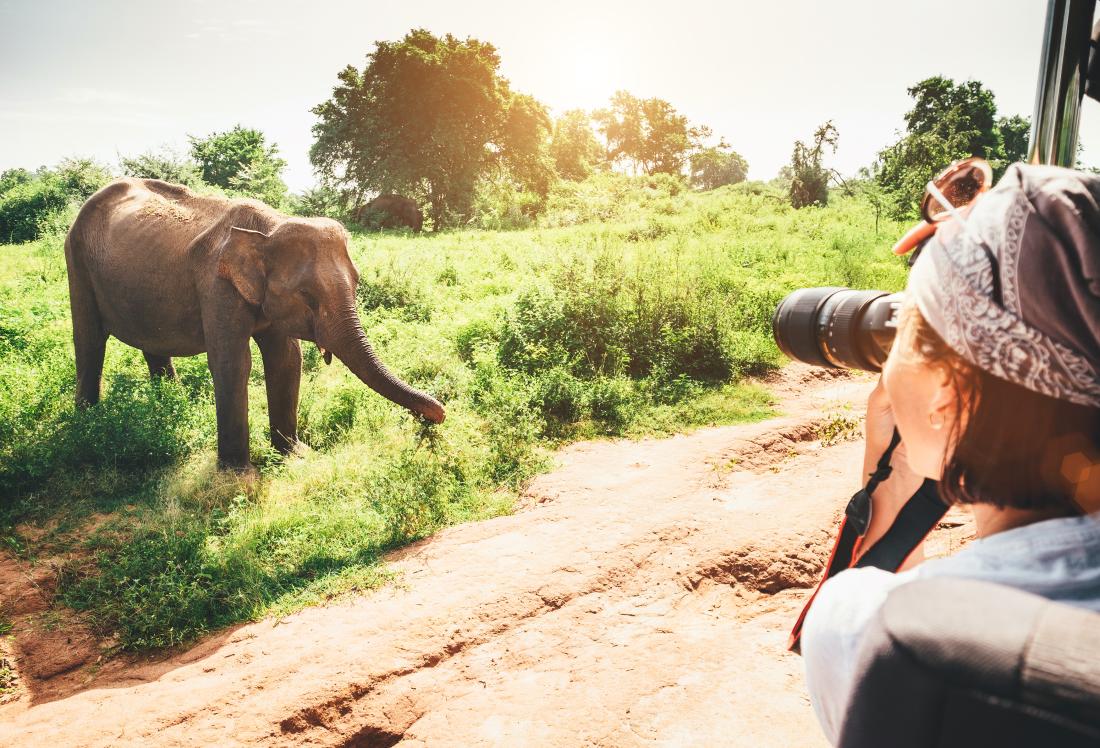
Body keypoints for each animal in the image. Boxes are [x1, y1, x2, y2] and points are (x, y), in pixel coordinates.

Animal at [63, 177, 442, 466]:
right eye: (307, 296)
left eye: (357, 283)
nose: (434, 416)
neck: (268, 230)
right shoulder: (216, 285)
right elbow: (233, 362)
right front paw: (238, 475)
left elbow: (287, 359)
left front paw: (295, 455)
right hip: (76, 256)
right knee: (89, 339)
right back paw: (86, 425)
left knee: (152, 345)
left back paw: (172, 406)